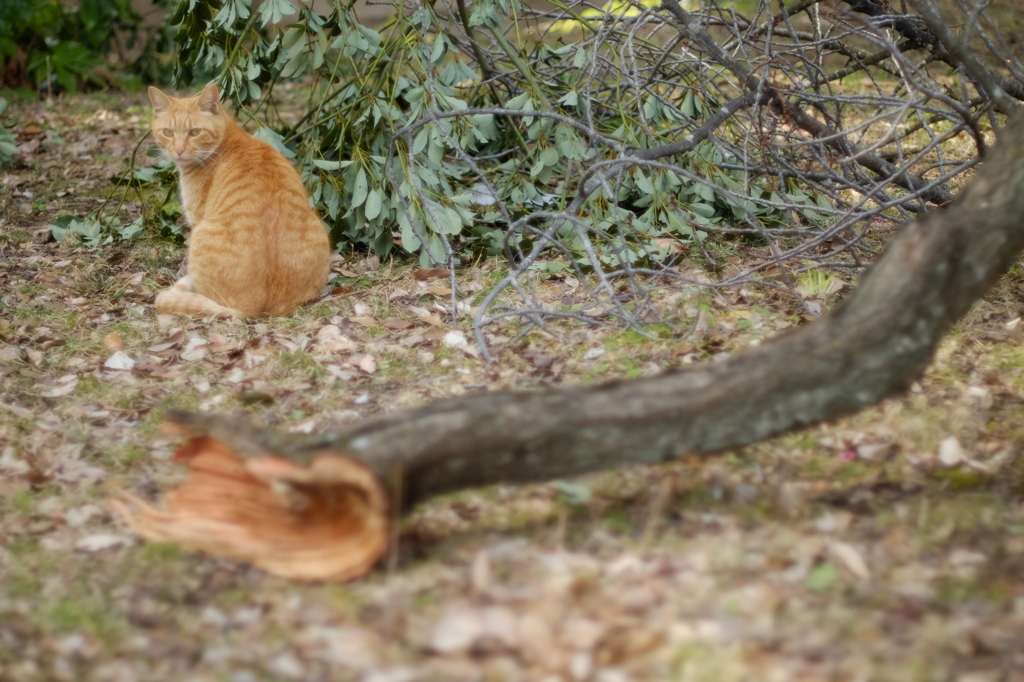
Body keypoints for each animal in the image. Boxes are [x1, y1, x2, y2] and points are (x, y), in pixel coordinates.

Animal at [148, 84, 329, 315]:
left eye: (194, 132)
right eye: (168, 132)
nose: (178, 151)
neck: (227, 141)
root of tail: (254, 308)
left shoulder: (196, 218)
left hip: (200, 233)